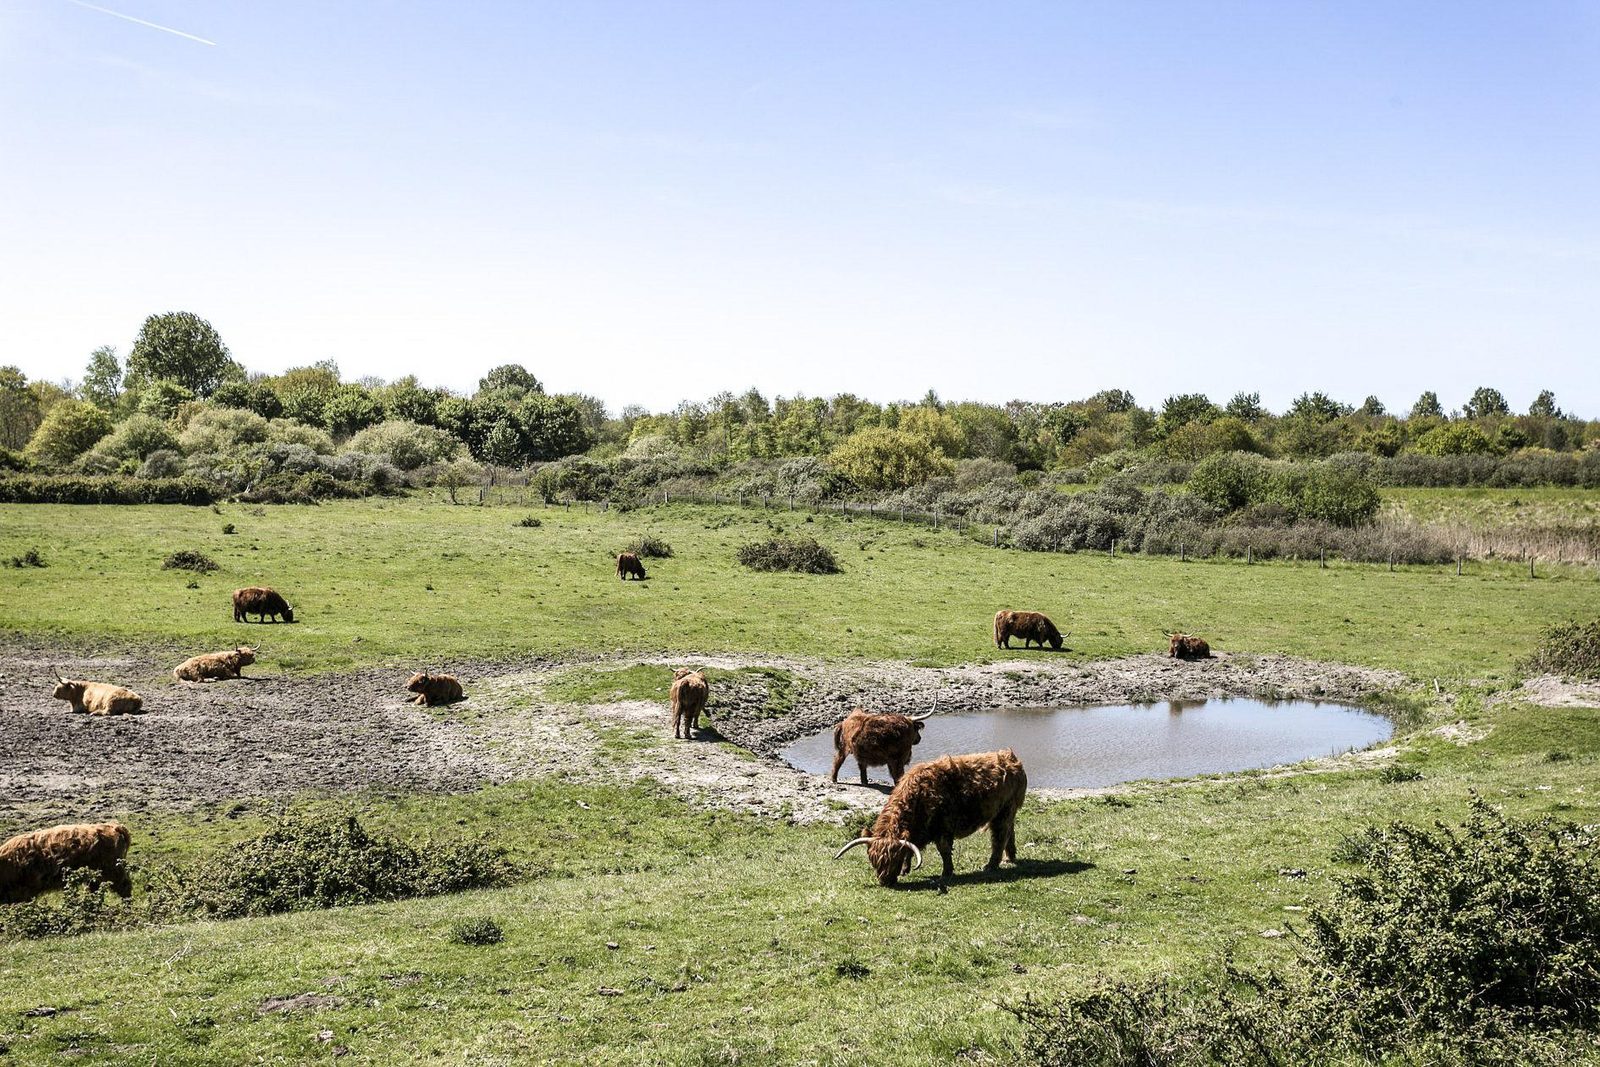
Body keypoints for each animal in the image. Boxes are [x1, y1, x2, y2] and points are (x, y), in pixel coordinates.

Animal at [838, 748, 1024, 889]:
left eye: (893, 860)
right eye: (873, 859)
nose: (885, 882)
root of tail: (1012, 757)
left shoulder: (942, 828)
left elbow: (944, 851)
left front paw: (946, 873)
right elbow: (910, 850)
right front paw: (905, 869)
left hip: (1004, 811)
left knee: (999, 837)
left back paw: (990, 865)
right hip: (1005, 812)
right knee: (1010, 831)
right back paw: (1010, 858)